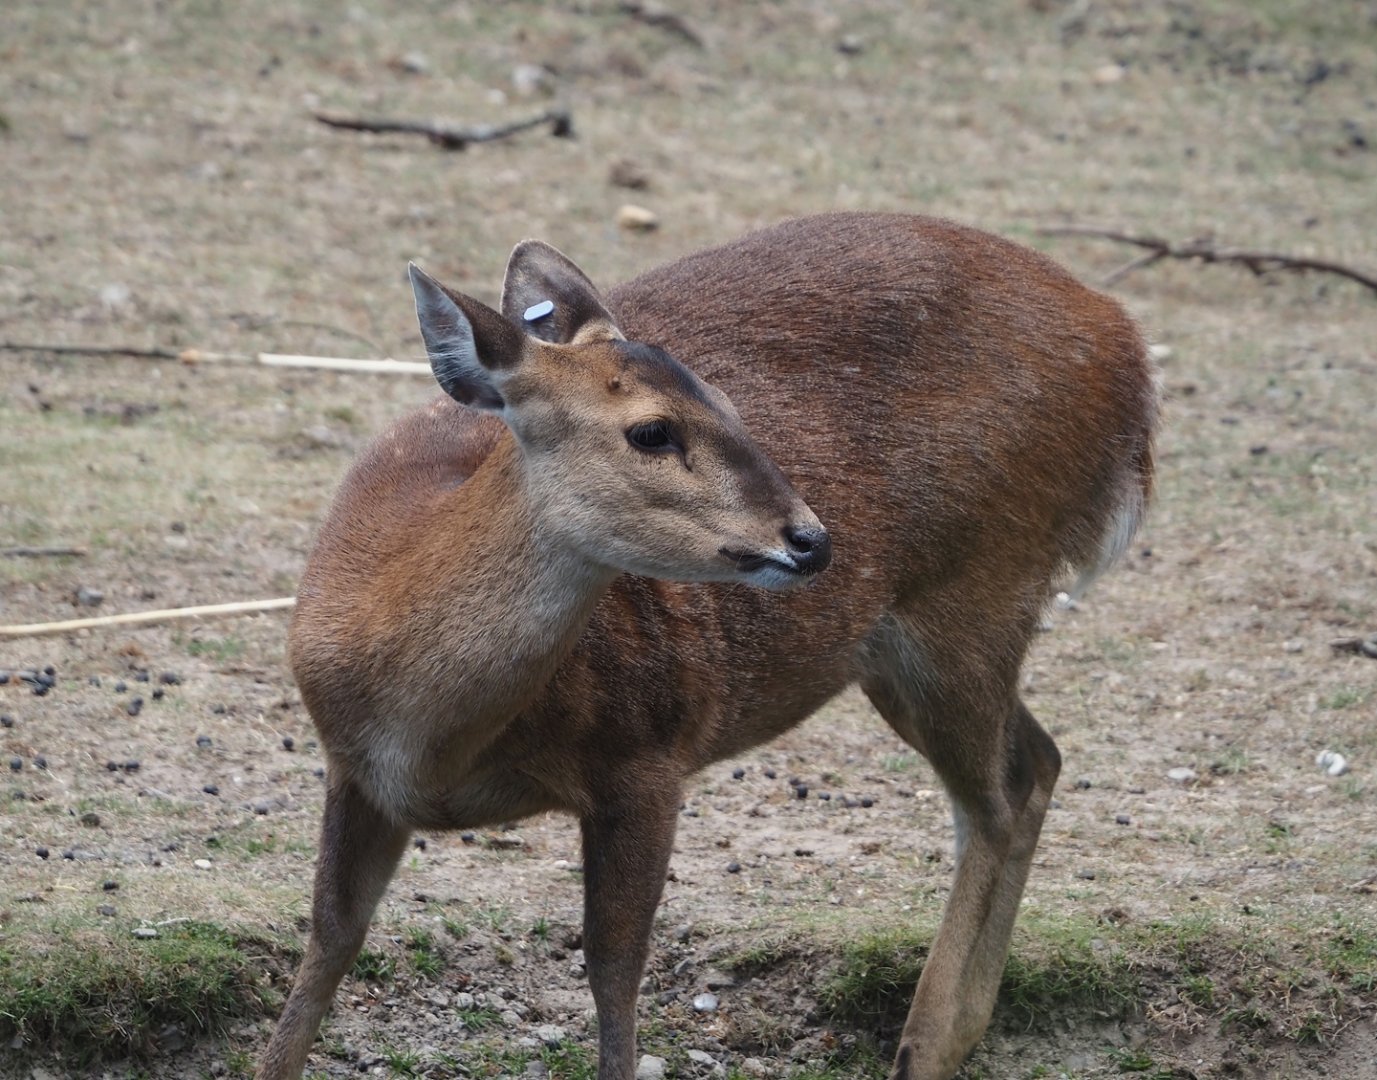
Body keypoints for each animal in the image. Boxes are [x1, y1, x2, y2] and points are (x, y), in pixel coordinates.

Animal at [256, 212, 1157, 1080]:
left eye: (728, 401)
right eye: (651, 432)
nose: (810, 540)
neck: (428, 741)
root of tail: (1127, 352)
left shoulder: (647, 757)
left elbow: (614, 970)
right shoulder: (352, 769)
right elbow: (329, 940)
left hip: (975, 592)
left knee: (994, 802)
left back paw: (925, 1046)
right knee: (1035, 760)